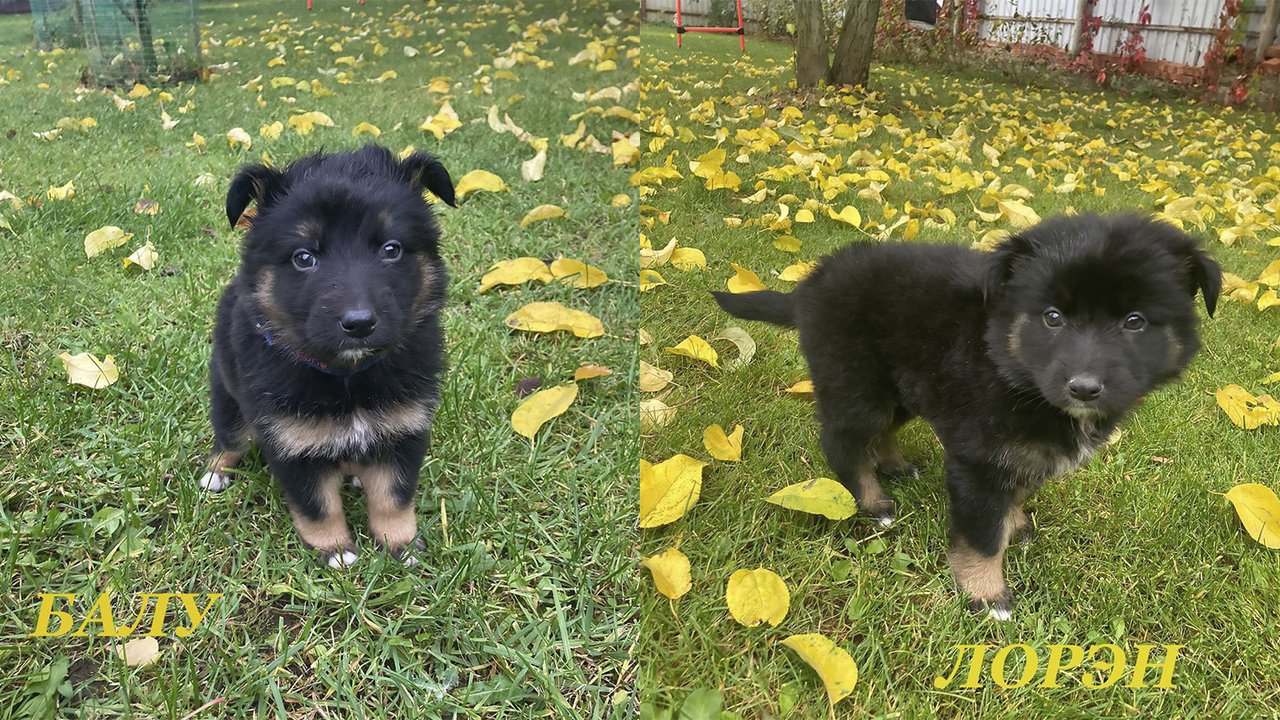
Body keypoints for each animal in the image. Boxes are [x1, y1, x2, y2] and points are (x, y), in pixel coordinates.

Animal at [202, 141, 458, 566]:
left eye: (391, 249)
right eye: (304, 257)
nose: (359, 324)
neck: (348, 375)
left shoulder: (405, 429)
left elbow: (393, 495)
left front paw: (400, 543)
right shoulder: (290, 443)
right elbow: (317, 506)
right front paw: (335, 551)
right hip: (229, 396)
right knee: (230, 440)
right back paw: (216, 472)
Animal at [716, 212, 1223, 617]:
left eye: (1135, 321)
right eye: (1052, 317)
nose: (1083, 388)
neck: (1006, 361)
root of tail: (810, 285)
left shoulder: (1019, 453)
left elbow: (1018, 491)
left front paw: (1014, 525)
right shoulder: (979, 461)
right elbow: (981, 536)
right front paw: (986, 594)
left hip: (904, 389)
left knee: (881, 433)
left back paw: (894, 466)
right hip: (859, 387)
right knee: (843, 442)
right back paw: (873, 503)